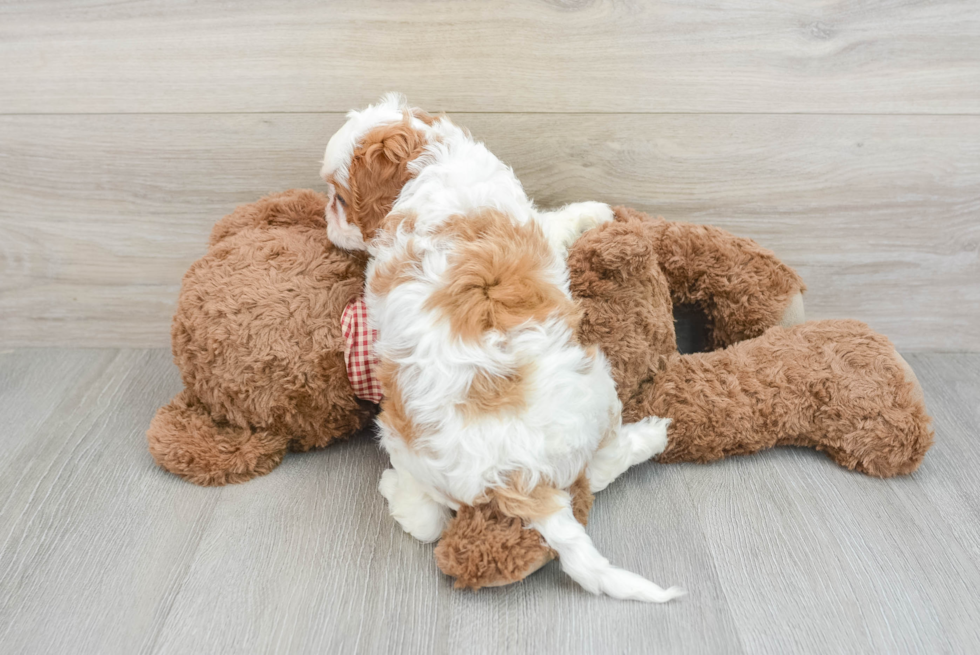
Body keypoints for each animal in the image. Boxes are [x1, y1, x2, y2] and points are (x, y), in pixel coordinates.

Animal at [320, 93, 680, 604]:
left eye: (340, 199)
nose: (325, 218)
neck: (433, 162)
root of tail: (520, 479)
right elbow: (556, 221)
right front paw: (593, 212)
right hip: (591, 386)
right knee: (592, 469)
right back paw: (652, 435)